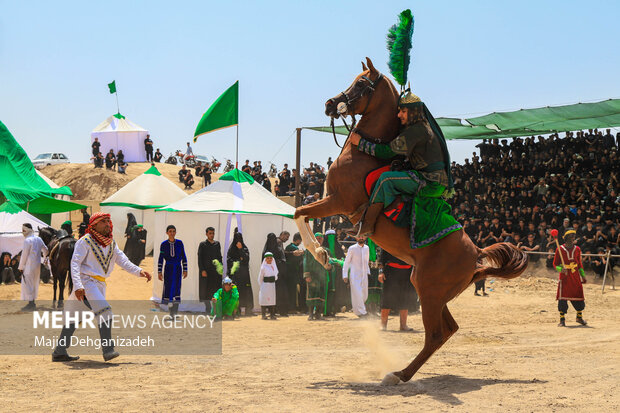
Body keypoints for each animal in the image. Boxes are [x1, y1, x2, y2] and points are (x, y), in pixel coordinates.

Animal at [296, 57, 528, 384]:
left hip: (428, 291)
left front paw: (320, 253)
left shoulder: (338, 202)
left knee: (435, 334)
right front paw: (321, 252)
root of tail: (476, 254)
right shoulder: (332, 202)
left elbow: (299, 212)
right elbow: (301, 212)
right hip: (436, 295)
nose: (330, 104)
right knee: (448, 330)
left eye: (360, 83)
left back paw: (399, 374)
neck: (365, 156)